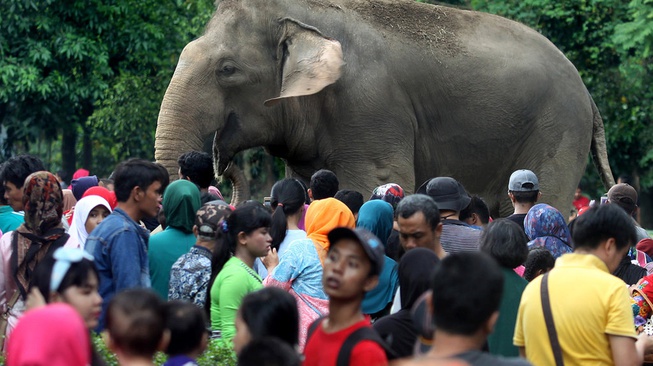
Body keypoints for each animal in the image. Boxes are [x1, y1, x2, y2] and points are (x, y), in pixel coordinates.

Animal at [155, 0, 612, 217]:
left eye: (227, 69)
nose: (219, 165)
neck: (304, 14)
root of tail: (588, 94)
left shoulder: (370, 105)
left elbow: (375, 182)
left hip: (559, 127)